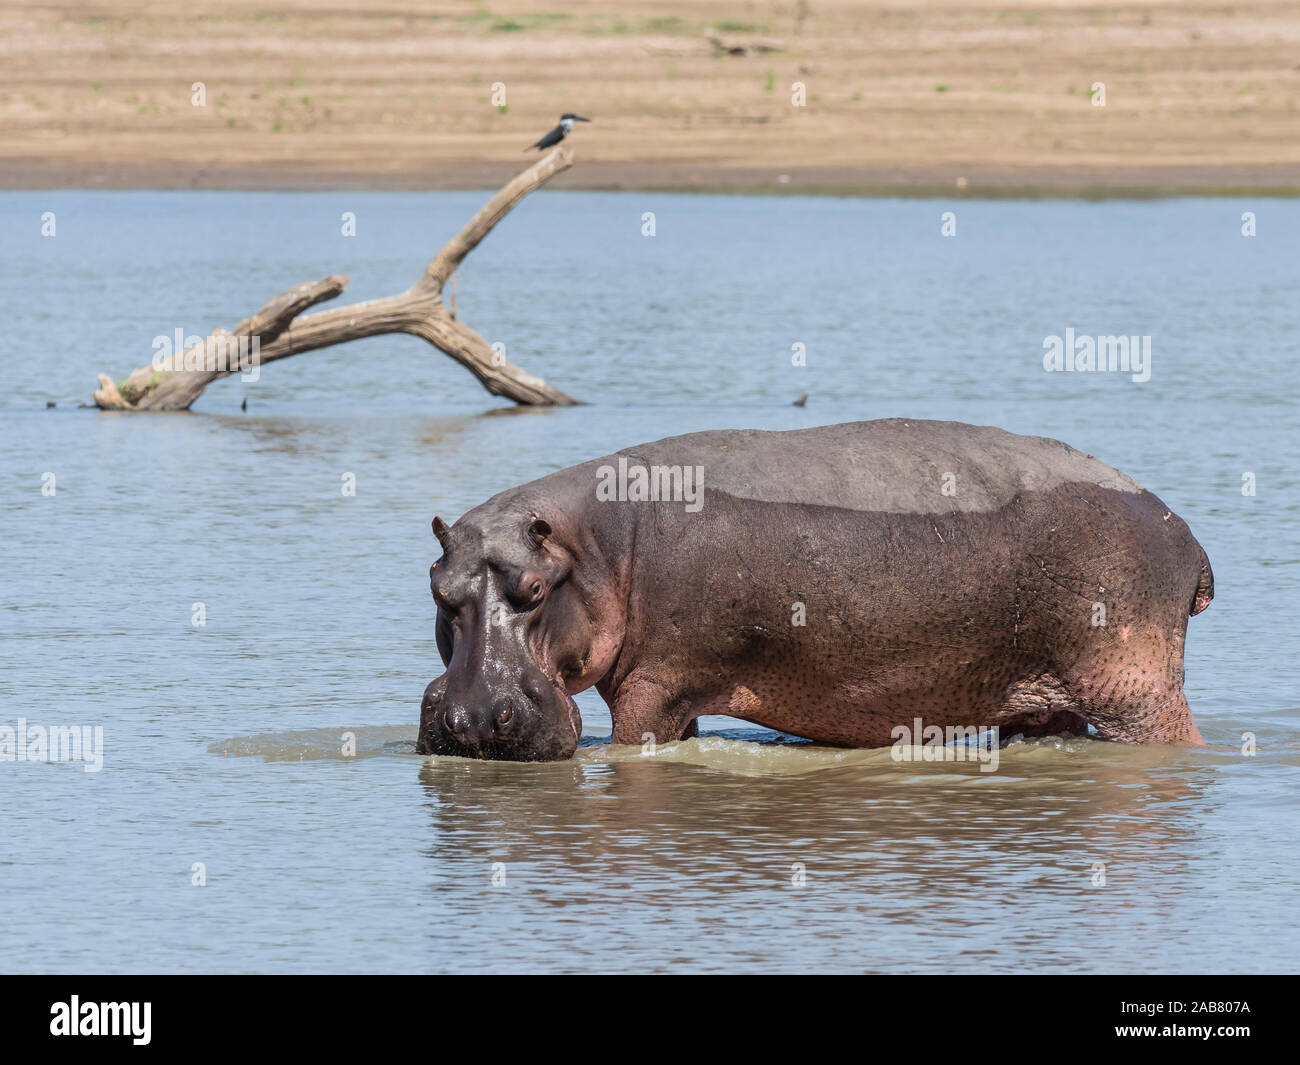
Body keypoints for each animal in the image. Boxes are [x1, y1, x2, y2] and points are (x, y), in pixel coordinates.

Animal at [417, 419, 1213, 761]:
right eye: (437, 589)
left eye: (534, 587)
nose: (472, 719)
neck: (601, 545)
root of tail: (1185, 535)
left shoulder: (654, 686)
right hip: (1046, 695)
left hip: (1135, 689)